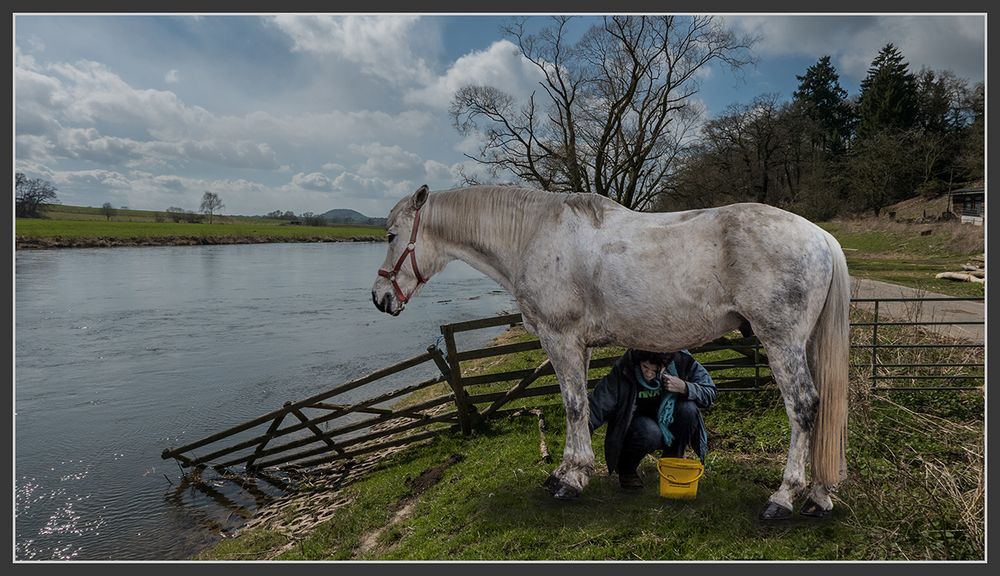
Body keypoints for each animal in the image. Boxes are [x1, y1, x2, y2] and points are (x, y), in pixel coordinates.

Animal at [372, 186, 848, 520]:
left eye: (392, 235)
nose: (379, 298)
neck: (534, 235)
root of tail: (821, 236)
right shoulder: (576, 346)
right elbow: (580, 407)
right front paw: (567, 471)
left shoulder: (560, 339)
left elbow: (572, 405)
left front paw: (571, 480)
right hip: (803, 344)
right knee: (823, 408)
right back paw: (819, 496)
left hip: (781, 342)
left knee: (804, 406)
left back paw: (784, 498)